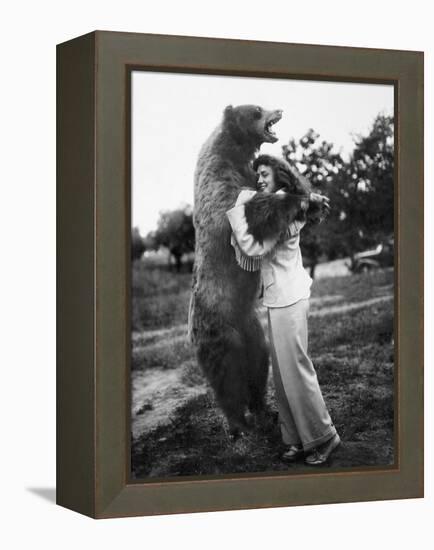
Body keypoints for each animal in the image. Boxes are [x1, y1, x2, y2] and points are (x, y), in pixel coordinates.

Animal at [188, 104, 310, 440]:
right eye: (256, 109)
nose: (277, 108)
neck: (232, 151)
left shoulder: (246, 173)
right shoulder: (220, 188)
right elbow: (248, 211)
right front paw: (294, 197)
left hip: (251, 326)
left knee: (258, 362)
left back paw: (264, 410)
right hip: (220, 329)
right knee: (227, 378)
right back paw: (239, 424)